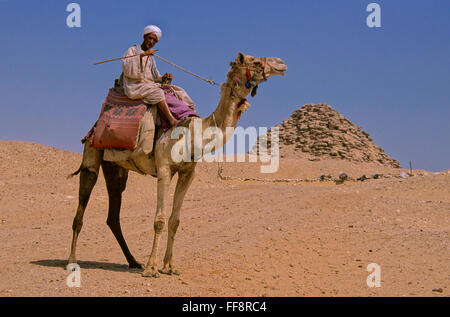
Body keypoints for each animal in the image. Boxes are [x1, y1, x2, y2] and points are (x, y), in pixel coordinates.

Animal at [67, 52, 288, 276]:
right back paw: (72, 261)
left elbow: (175, 220)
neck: (194, 134)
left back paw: (133, 261)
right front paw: (152, 268)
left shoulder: (187, 173)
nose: (281, 64)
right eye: (256, 61)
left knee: (113, 213)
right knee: (83, 201)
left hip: (116, 167)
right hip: (92, 153)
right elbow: (160, 220)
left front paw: (169, 266)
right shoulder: (164, 169)